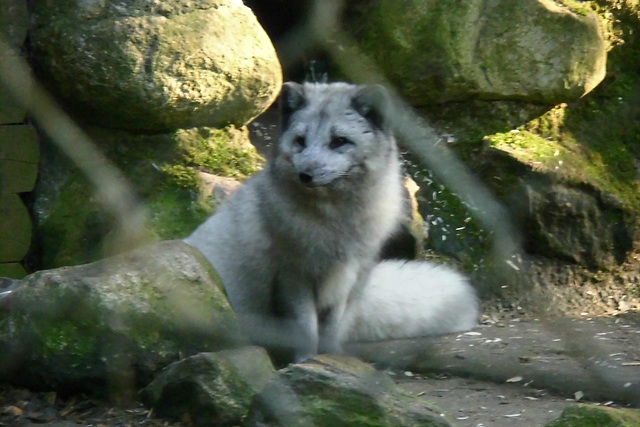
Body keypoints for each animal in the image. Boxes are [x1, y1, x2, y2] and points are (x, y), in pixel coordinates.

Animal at [182, 82, 478, 362]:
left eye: (339, 141)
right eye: (300, 141)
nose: (305, 175)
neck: (336, 222)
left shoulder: (352, 275)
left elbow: (333, 325)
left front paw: (331, 356)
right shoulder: (293, 276)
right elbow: (306, 327)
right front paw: (305, 360)